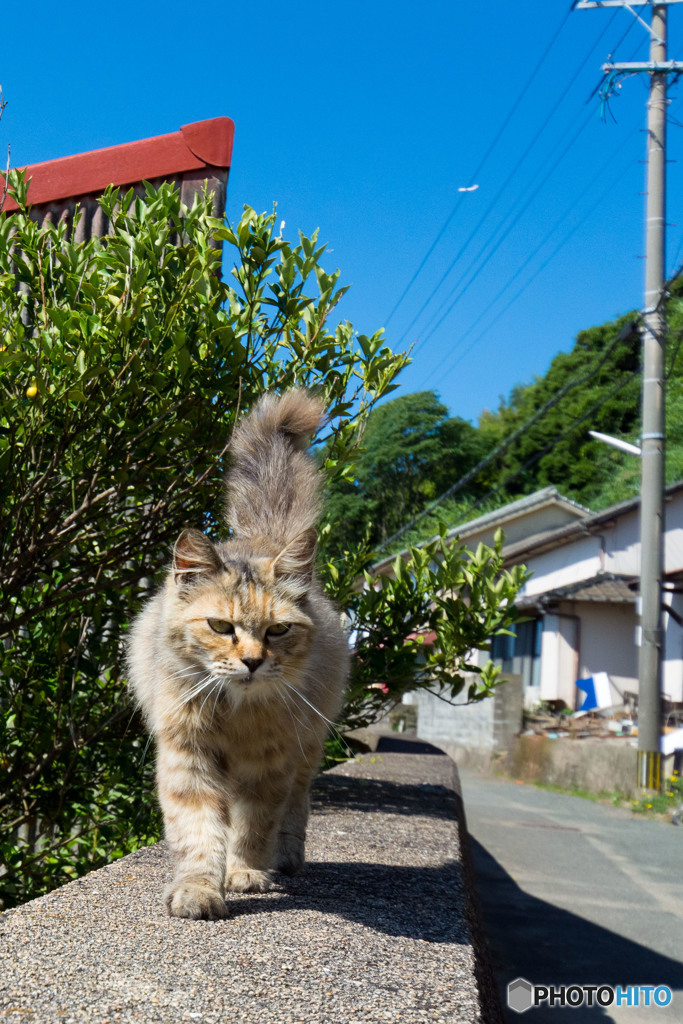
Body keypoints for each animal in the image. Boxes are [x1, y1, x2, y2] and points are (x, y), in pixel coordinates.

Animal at [127, 389, 350, 921]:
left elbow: (255, 825)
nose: (252, 661)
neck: (234, 713)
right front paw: (199, 889)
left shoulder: (270, 764)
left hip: (308, 748)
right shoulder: (188, 756)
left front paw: (246, 873)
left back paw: (285, 860)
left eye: (278, 630)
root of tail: (262, 540)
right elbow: (198, 832)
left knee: (295, 808)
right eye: (220, 627)